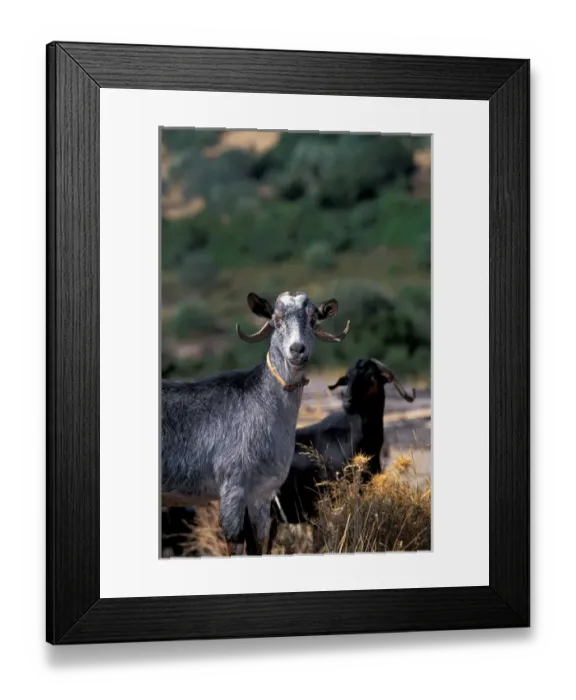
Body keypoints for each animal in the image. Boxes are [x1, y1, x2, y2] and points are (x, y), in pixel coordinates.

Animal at [161, 291, 351, 556]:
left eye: (313, 320)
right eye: (276, 320)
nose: (297, 349)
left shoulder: (263, 494)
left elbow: (258, 545)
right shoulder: (233, 487)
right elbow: (234, 543)